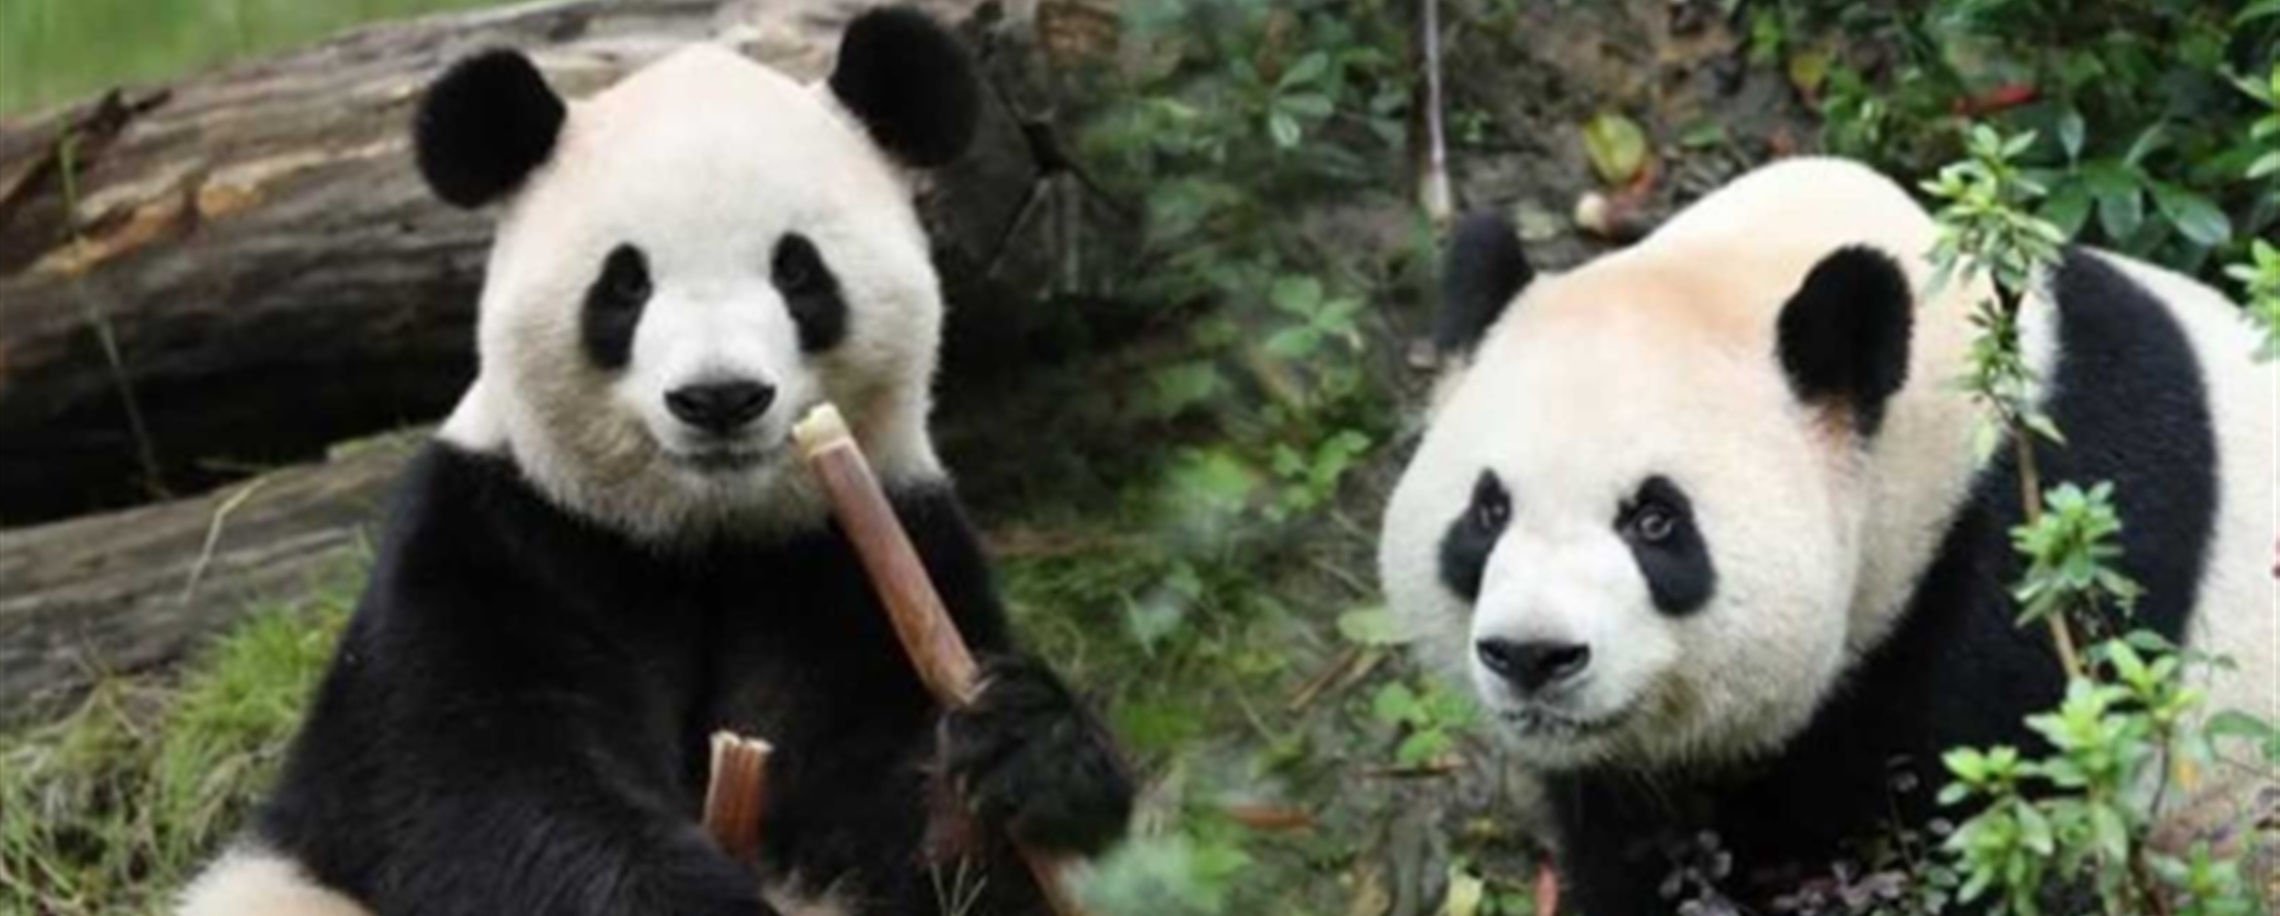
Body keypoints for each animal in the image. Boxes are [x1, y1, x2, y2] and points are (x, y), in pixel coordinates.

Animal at [176, 10, 1133, 916]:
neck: (703, 535)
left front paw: (1028, 751)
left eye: (798, 272)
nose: (720, 398)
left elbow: (909, 835)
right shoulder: (494, 540)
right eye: (625, 283)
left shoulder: (863, 553)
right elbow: (481, 790)